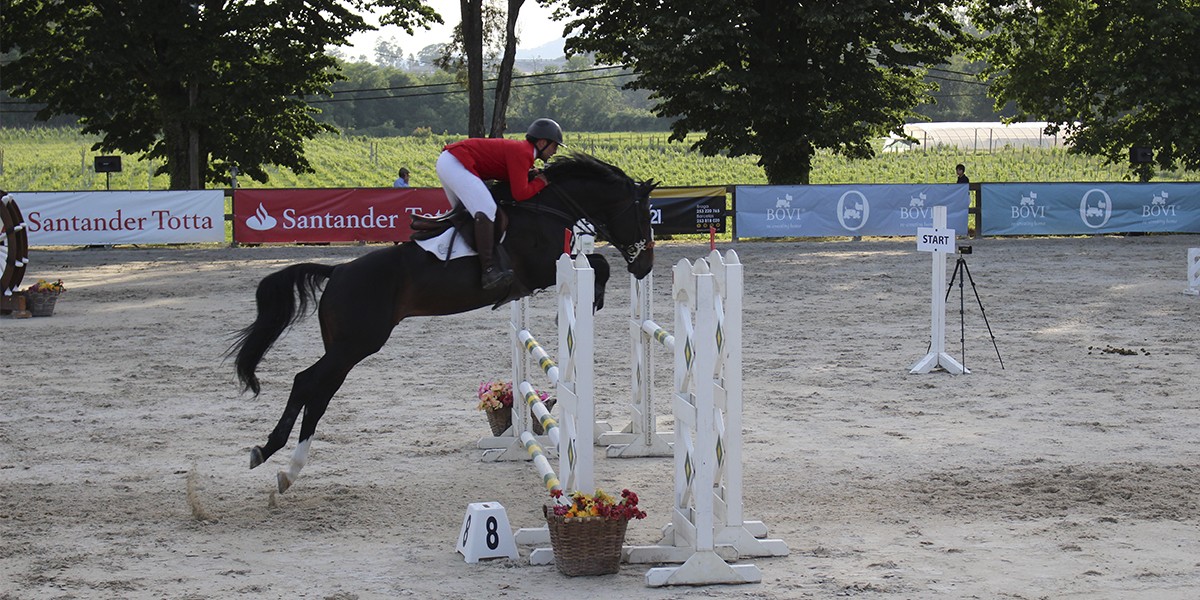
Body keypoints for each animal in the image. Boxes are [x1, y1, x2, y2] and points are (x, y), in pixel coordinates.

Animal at [228, 154, 657, 493]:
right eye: (642, 215)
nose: (645, 266)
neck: (548, 208)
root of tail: (337, 272)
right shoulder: (540, 268)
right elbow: (598, 263)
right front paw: (592, 299)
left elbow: (598, 263)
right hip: (356, 343)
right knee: (307, 383)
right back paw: (267, 452)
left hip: (345, 347)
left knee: (320, 393)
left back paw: (289, 471)